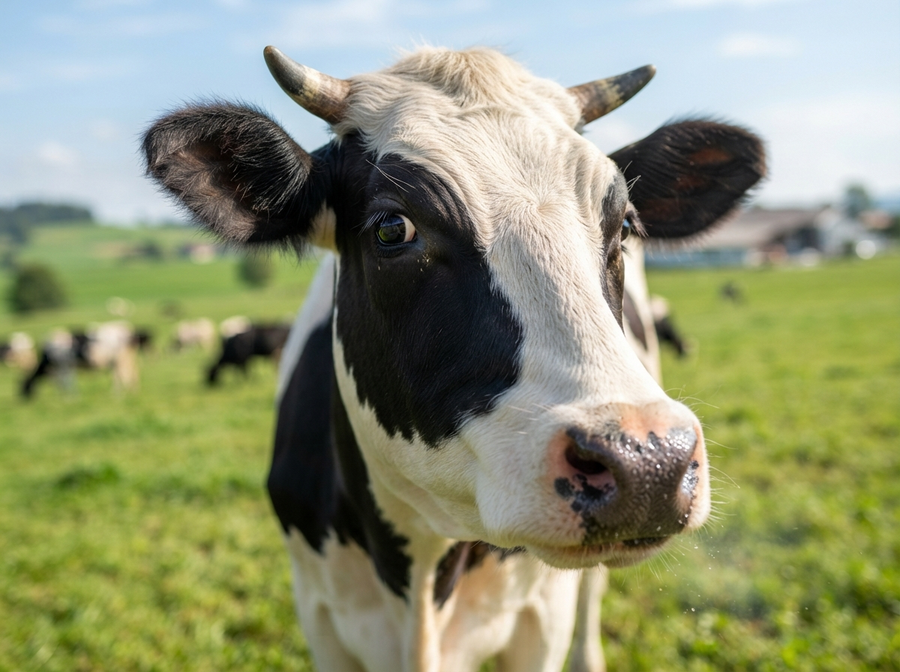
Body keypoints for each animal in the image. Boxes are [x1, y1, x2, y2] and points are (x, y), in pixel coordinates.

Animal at [143, 46, 765, 671]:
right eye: (392, 228)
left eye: (628, 225)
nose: (648, 460)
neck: (418, 588)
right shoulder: (320, 612)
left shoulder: (541, 618)